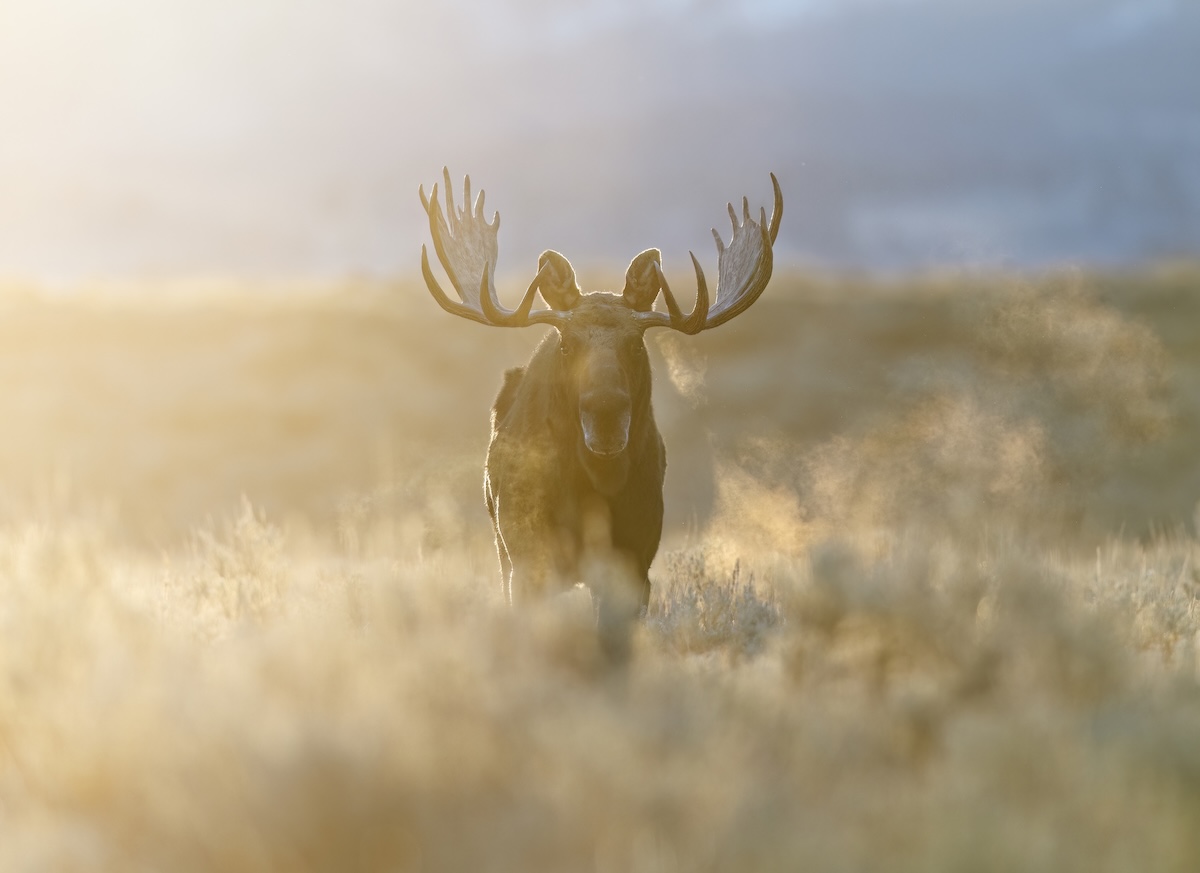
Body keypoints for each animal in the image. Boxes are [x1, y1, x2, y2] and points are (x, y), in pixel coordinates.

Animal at [419, 168, 782, 661]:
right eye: (567, 345)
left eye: (636, 345)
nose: (606, 414)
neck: (593, 482)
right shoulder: (527, 551)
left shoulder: (636, 557)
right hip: (503, 547)